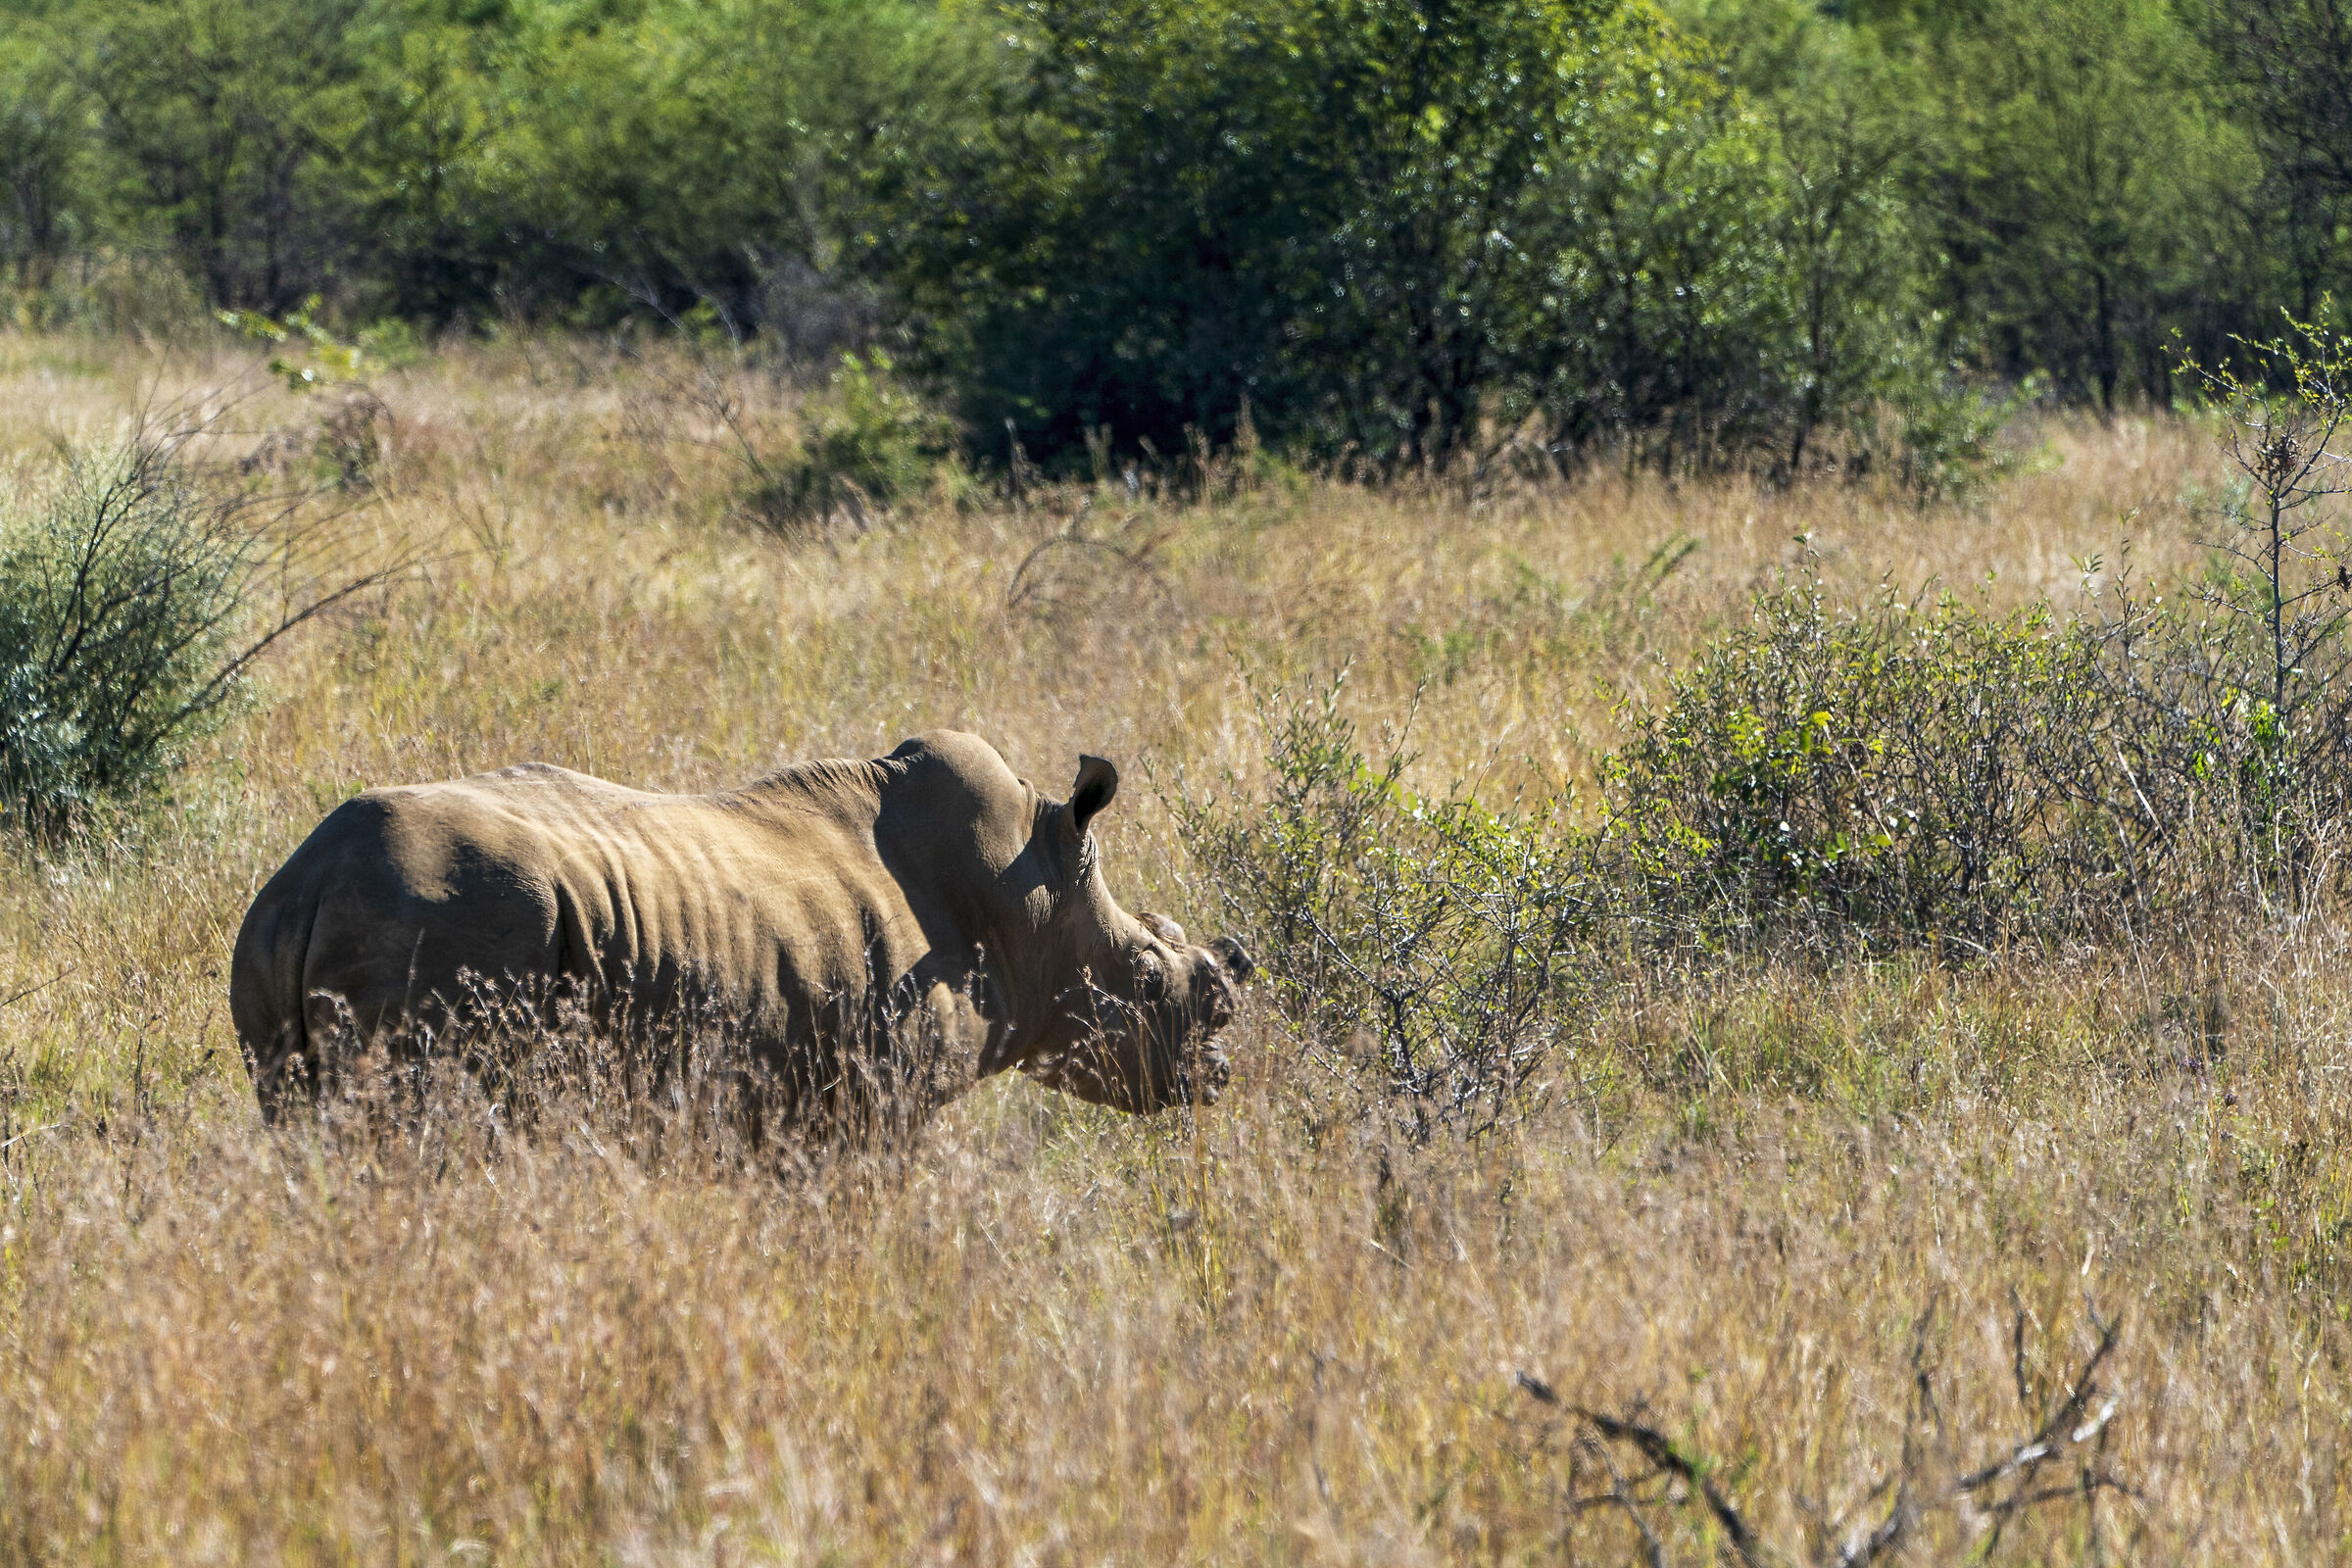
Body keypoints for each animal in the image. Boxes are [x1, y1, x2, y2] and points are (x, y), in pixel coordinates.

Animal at [229, 731, 1251, 1125]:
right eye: (1148, 978)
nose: (1215, 1075)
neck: (1033, 900)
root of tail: (310, 880)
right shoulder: (877, 1103)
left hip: (281, 943)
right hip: (450, 923)